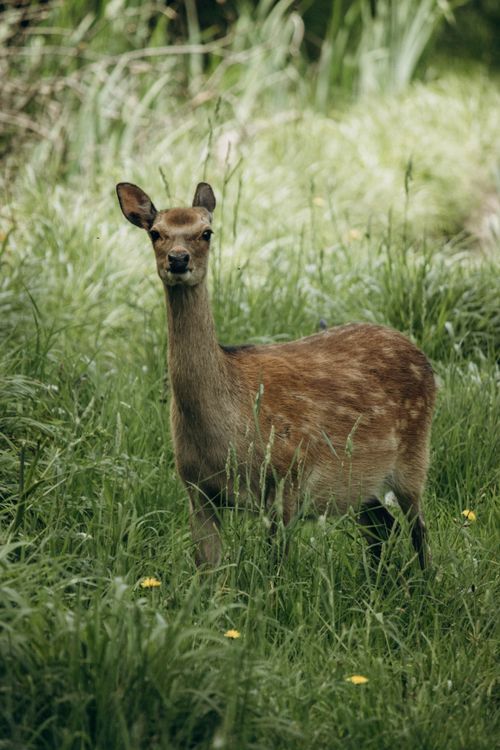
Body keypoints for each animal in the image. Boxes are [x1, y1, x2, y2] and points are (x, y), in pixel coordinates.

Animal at [116, 180, 437, 569]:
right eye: (155, 233)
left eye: (206, 232)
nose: (178, 259)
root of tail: (419, 354)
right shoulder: (195, 489)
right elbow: (207, 570)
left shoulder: (287, 479)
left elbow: (275, 570)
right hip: (357, 483)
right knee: (381, 525)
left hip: (414, 456)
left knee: (418, 528)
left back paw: (425, 580)